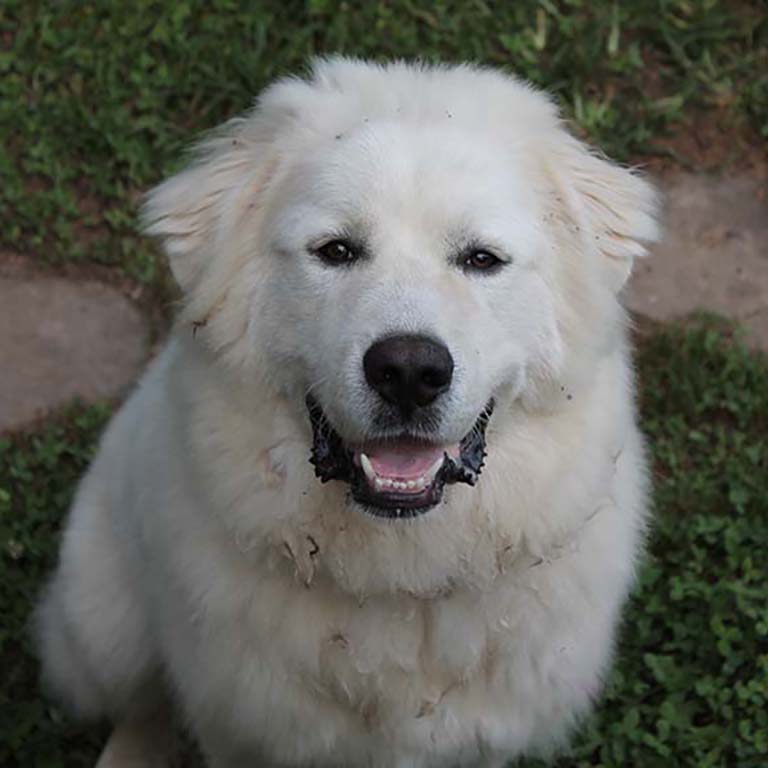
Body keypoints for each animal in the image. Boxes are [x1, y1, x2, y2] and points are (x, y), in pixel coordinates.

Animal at [36, 60, 656, 768]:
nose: (409, 372)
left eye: (481, 259)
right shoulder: (243, 731)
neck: (399, 576)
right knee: (143, 705)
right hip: (105, 624)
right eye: (335, 251)